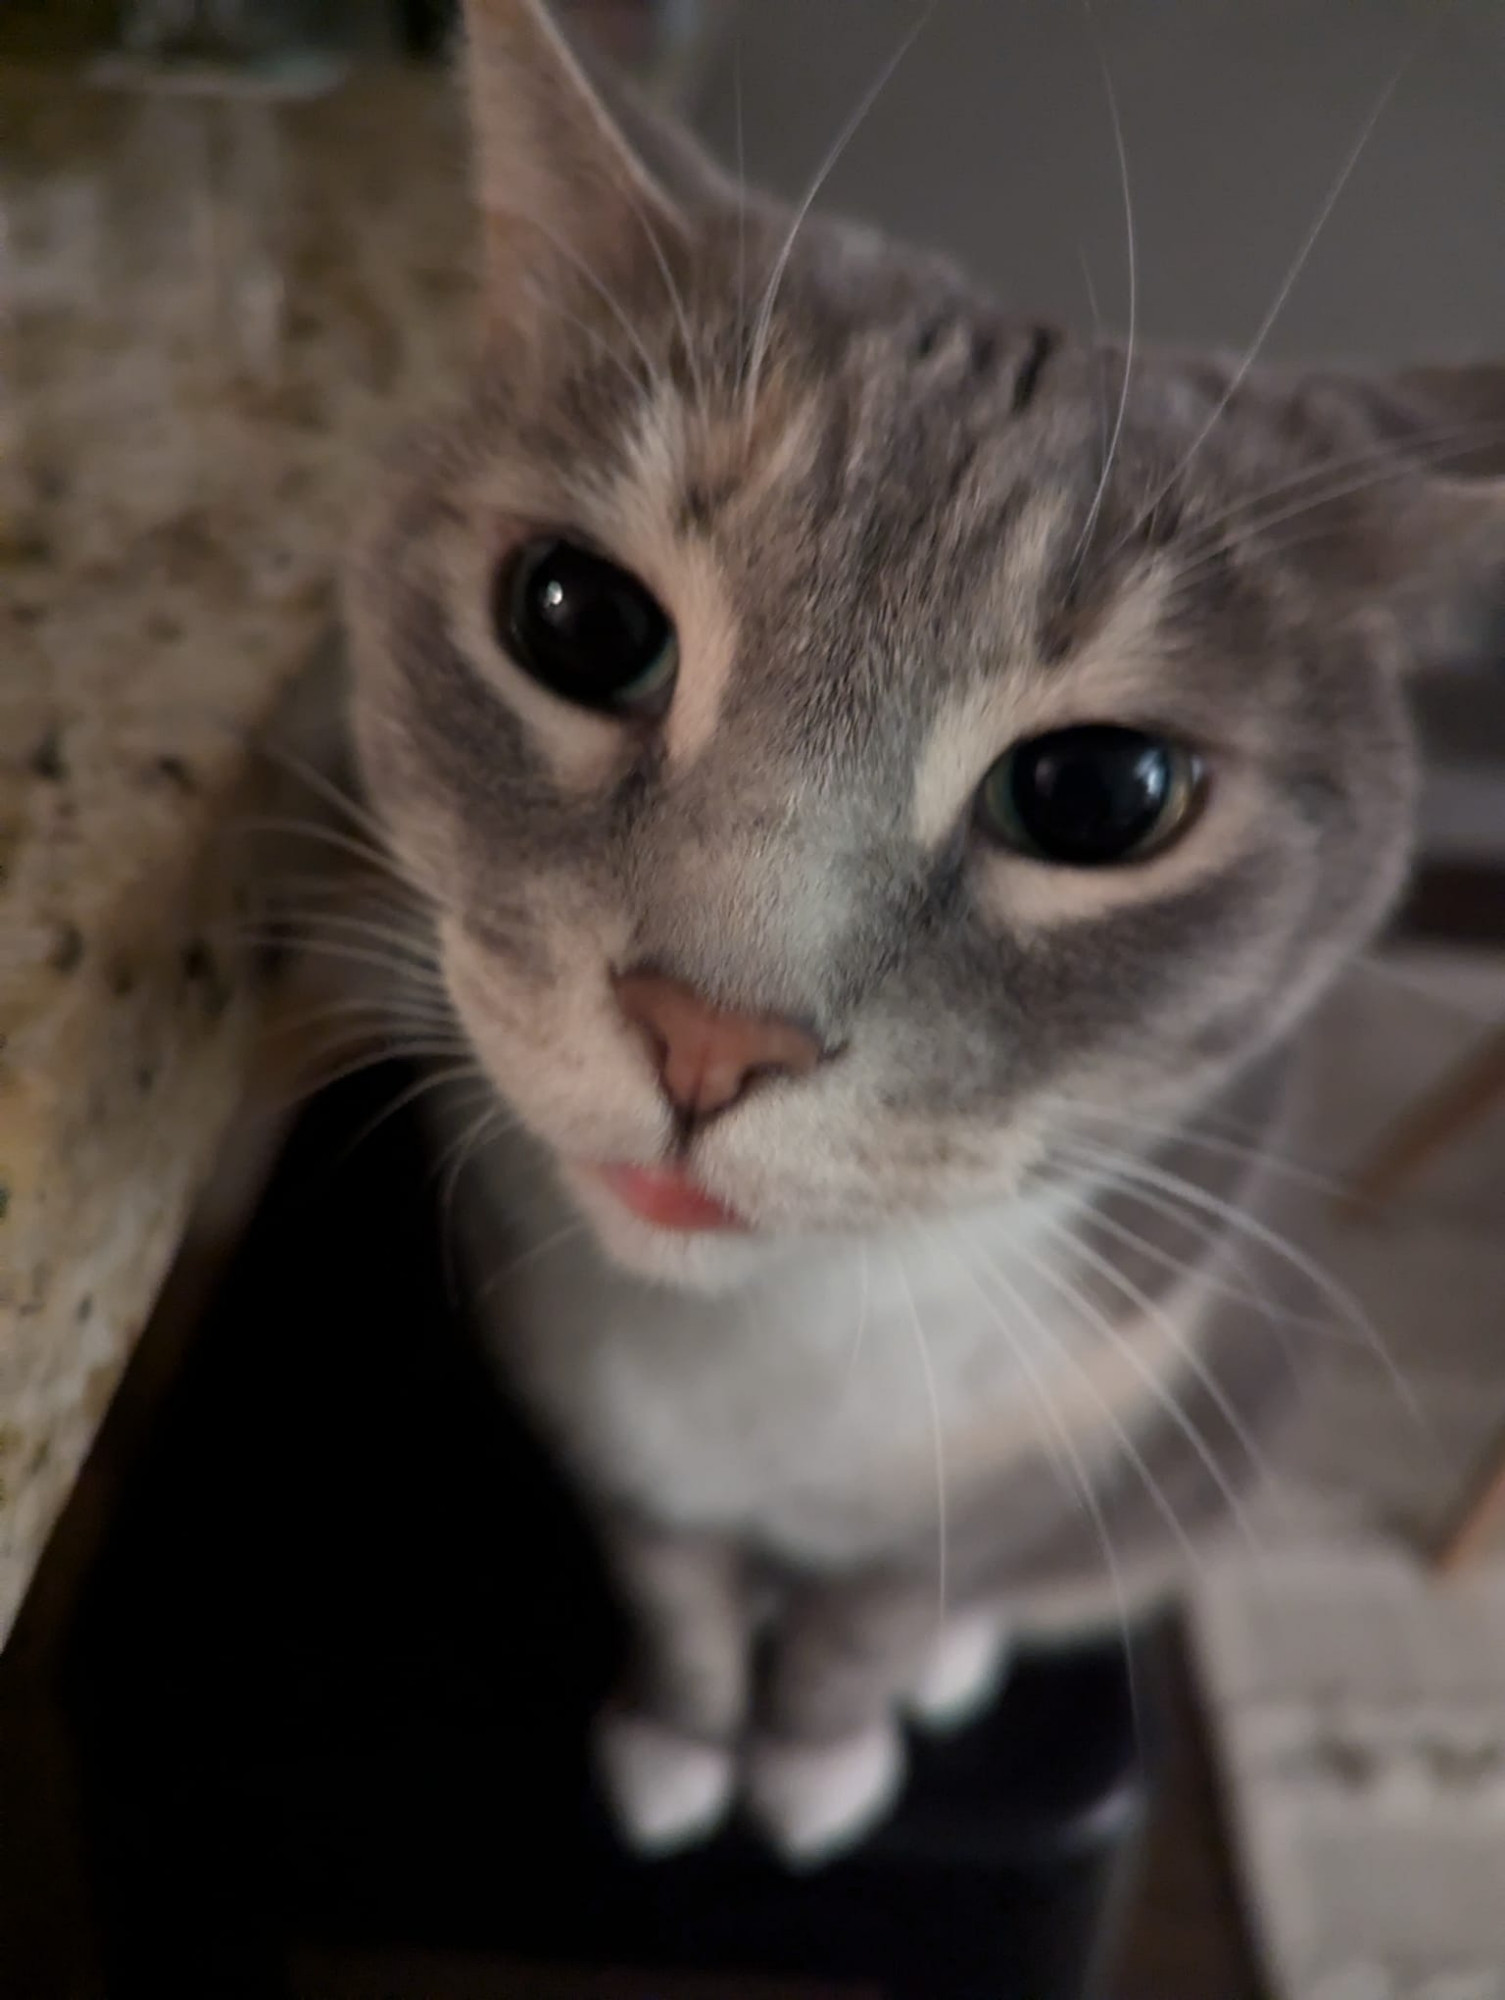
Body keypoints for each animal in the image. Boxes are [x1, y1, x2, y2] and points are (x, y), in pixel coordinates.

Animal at [324, 0, 1496, 1856]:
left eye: (1097, 794)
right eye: (575, 618)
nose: (704, 1031)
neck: (767, 1335)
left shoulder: (1071, 1434)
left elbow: (889, 1603)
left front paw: (816, 1754)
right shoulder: (591, 1419)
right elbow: (670, 1578)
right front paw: (683, 1732)